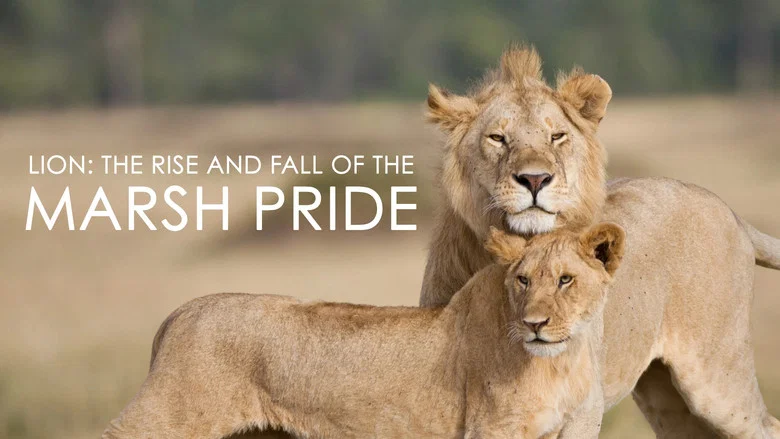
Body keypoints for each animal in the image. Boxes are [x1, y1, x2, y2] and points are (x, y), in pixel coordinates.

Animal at [102, 224, 625, 439]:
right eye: (523, 280)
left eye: (565, 280)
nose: (534, 324)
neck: (559, 362)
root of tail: (181, 311)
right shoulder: (491, 430)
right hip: (165, 419)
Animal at [420, 44, 780, 438]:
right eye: (497, 138)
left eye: (557, 137)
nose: (535, 179)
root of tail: (731, 211)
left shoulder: (583, 408)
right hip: (666, 397)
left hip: (717, 378)